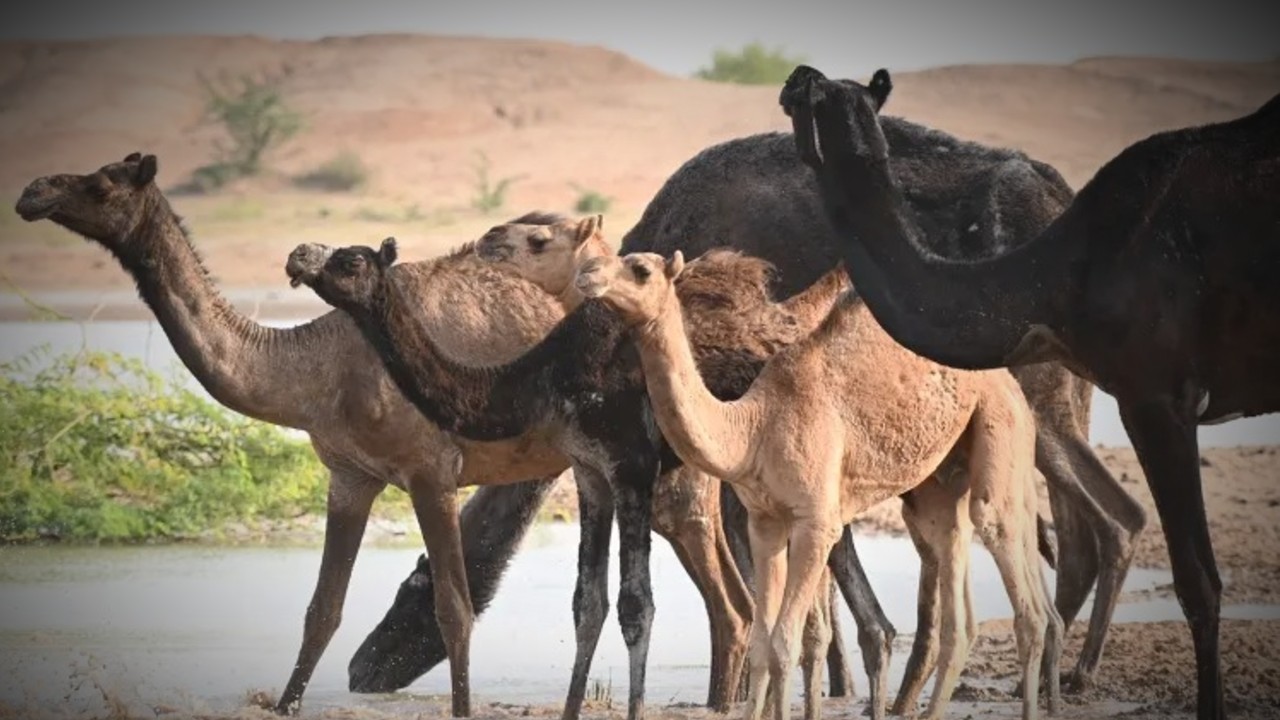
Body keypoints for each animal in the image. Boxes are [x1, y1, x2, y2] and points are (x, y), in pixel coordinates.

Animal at [10, 157, 792, 719]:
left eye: (101, 181)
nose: (33, 190)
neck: (313, 367)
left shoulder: (428, 469)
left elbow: (452, 609)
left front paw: (463, 708)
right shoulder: (349, 476)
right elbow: (321, 610)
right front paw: (286, 704)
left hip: (672, 482)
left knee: (730, 600)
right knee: (732, 601)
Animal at [285, 231, 851, 720]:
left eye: (351, 261)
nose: (298, 256)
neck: (545, 376)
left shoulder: (631, 465)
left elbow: (636, 605)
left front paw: (635, 711)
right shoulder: (588, 470)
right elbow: (587, 603)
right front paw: (572, 709)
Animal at [468, 212, 1059, 718]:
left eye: (539, 239)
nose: (488, 238)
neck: (749, 421)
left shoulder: (778, 511)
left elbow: (769, 632)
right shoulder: (744, 515)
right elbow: (756, 637)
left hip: (989, 450)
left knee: (991, 587)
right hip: (935, 486)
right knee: (945, 588)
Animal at [615, 76, 1145, 702]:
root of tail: (1057, 193)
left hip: (1041, 401)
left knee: (1109, 521)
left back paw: (1067, 671)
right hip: (1056, 399)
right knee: (1075, 529)